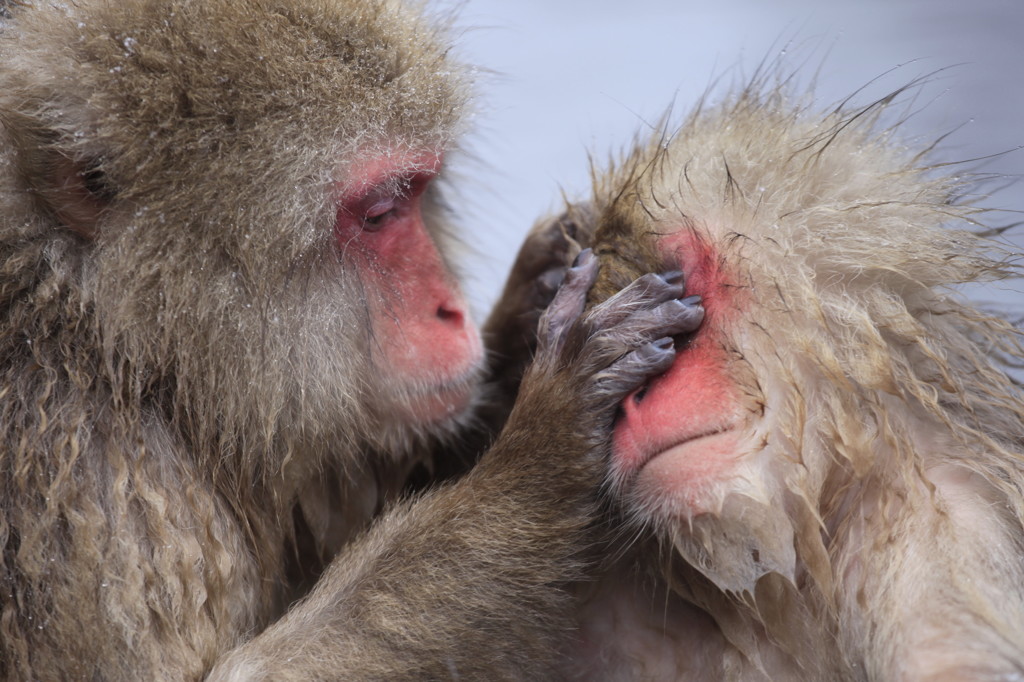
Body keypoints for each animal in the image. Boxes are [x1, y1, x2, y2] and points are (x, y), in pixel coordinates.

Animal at [0, 0, 704, 675]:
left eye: (416, 194)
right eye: (377, 214)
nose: (450, 310)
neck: (120, 353)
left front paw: (531, 306)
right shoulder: (88, 493)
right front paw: (546, 445)